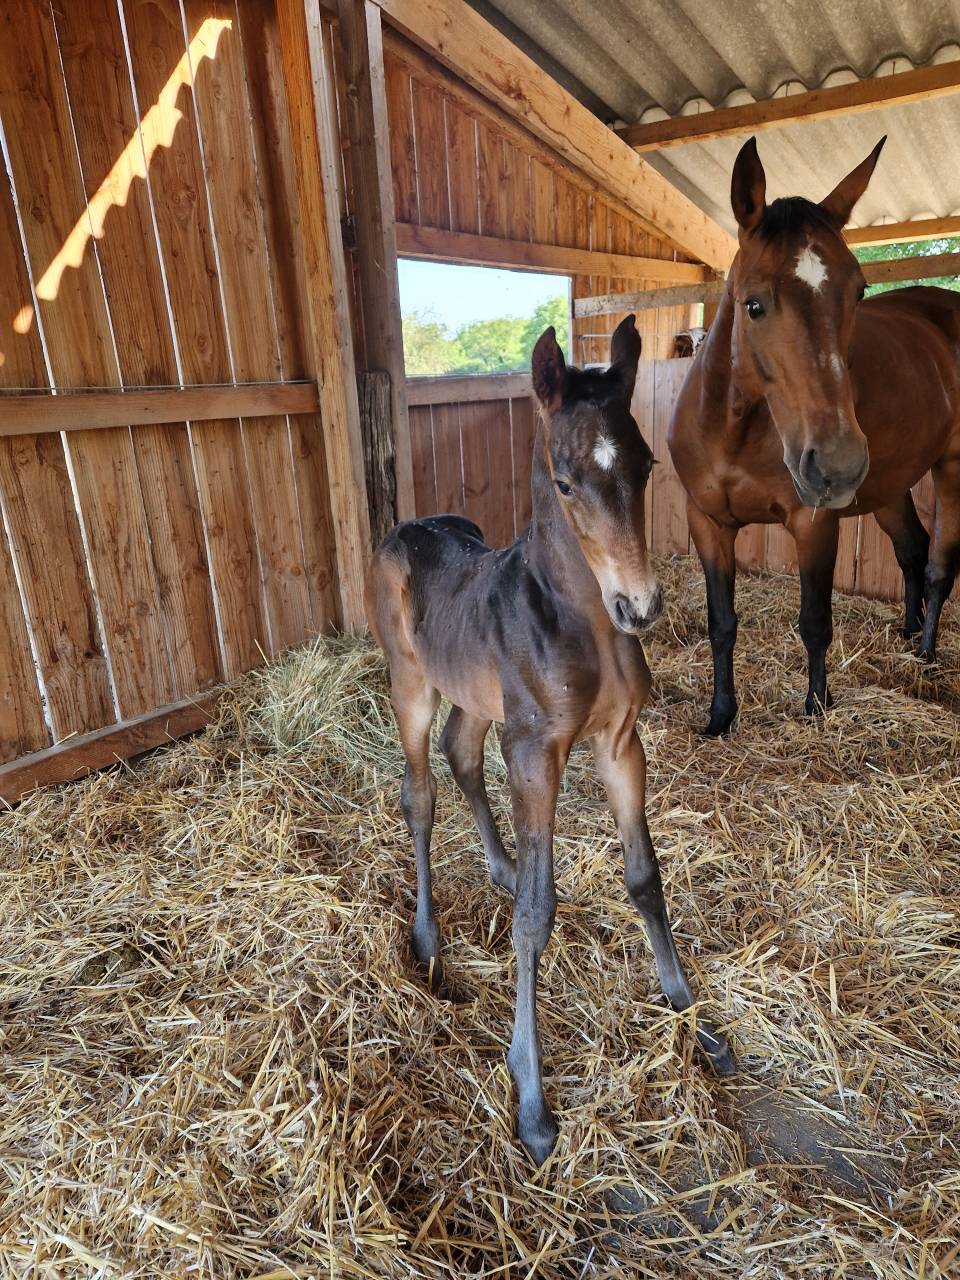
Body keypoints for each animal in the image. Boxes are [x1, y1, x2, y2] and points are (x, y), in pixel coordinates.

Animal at [366, 316, 733, 1165]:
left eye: (646, 463)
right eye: (565, 484)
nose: (639, 606)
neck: (585, 623)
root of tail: (407, 527)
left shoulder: (619, 742)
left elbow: (645, 877)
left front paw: (692, 1017)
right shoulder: (536, 752)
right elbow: (537, 914)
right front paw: (531, 1101)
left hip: (479, 699)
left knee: (461, 754)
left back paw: (499, 865)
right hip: (411, 684)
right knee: (419, 792)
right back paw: (428, 941)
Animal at [669, 136, 960, 736]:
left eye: (859, 290)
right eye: (754, 304)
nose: (837, 466)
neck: (734, 431)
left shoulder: (814, 524)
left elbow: (814, 623)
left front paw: (817, 708)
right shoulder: (706, 522)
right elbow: (721, 623)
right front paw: (720, 716)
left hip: (951, 467)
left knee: (940, 565)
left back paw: (924, 654)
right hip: (889, 487)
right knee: (913, 549)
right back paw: (907, 632)